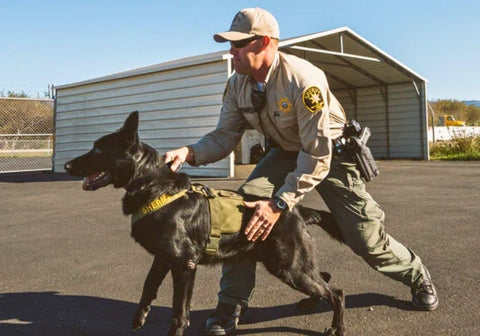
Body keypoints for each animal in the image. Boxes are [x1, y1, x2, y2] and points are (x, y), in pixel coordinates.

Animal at [64, 111, 344, 334]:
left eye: (98, 149)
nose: (66, 165)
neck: (155, 188)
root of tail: (296, 210)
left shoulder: (184, 265)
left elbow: (179, 313)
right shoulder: (163, 258)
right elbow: (148, 286)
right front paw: (139, 317)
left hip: (289, 267)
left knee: (336, 293)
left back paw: (336, 328)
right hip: (288, 267)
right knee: (324, 279)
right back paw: (310, 304)